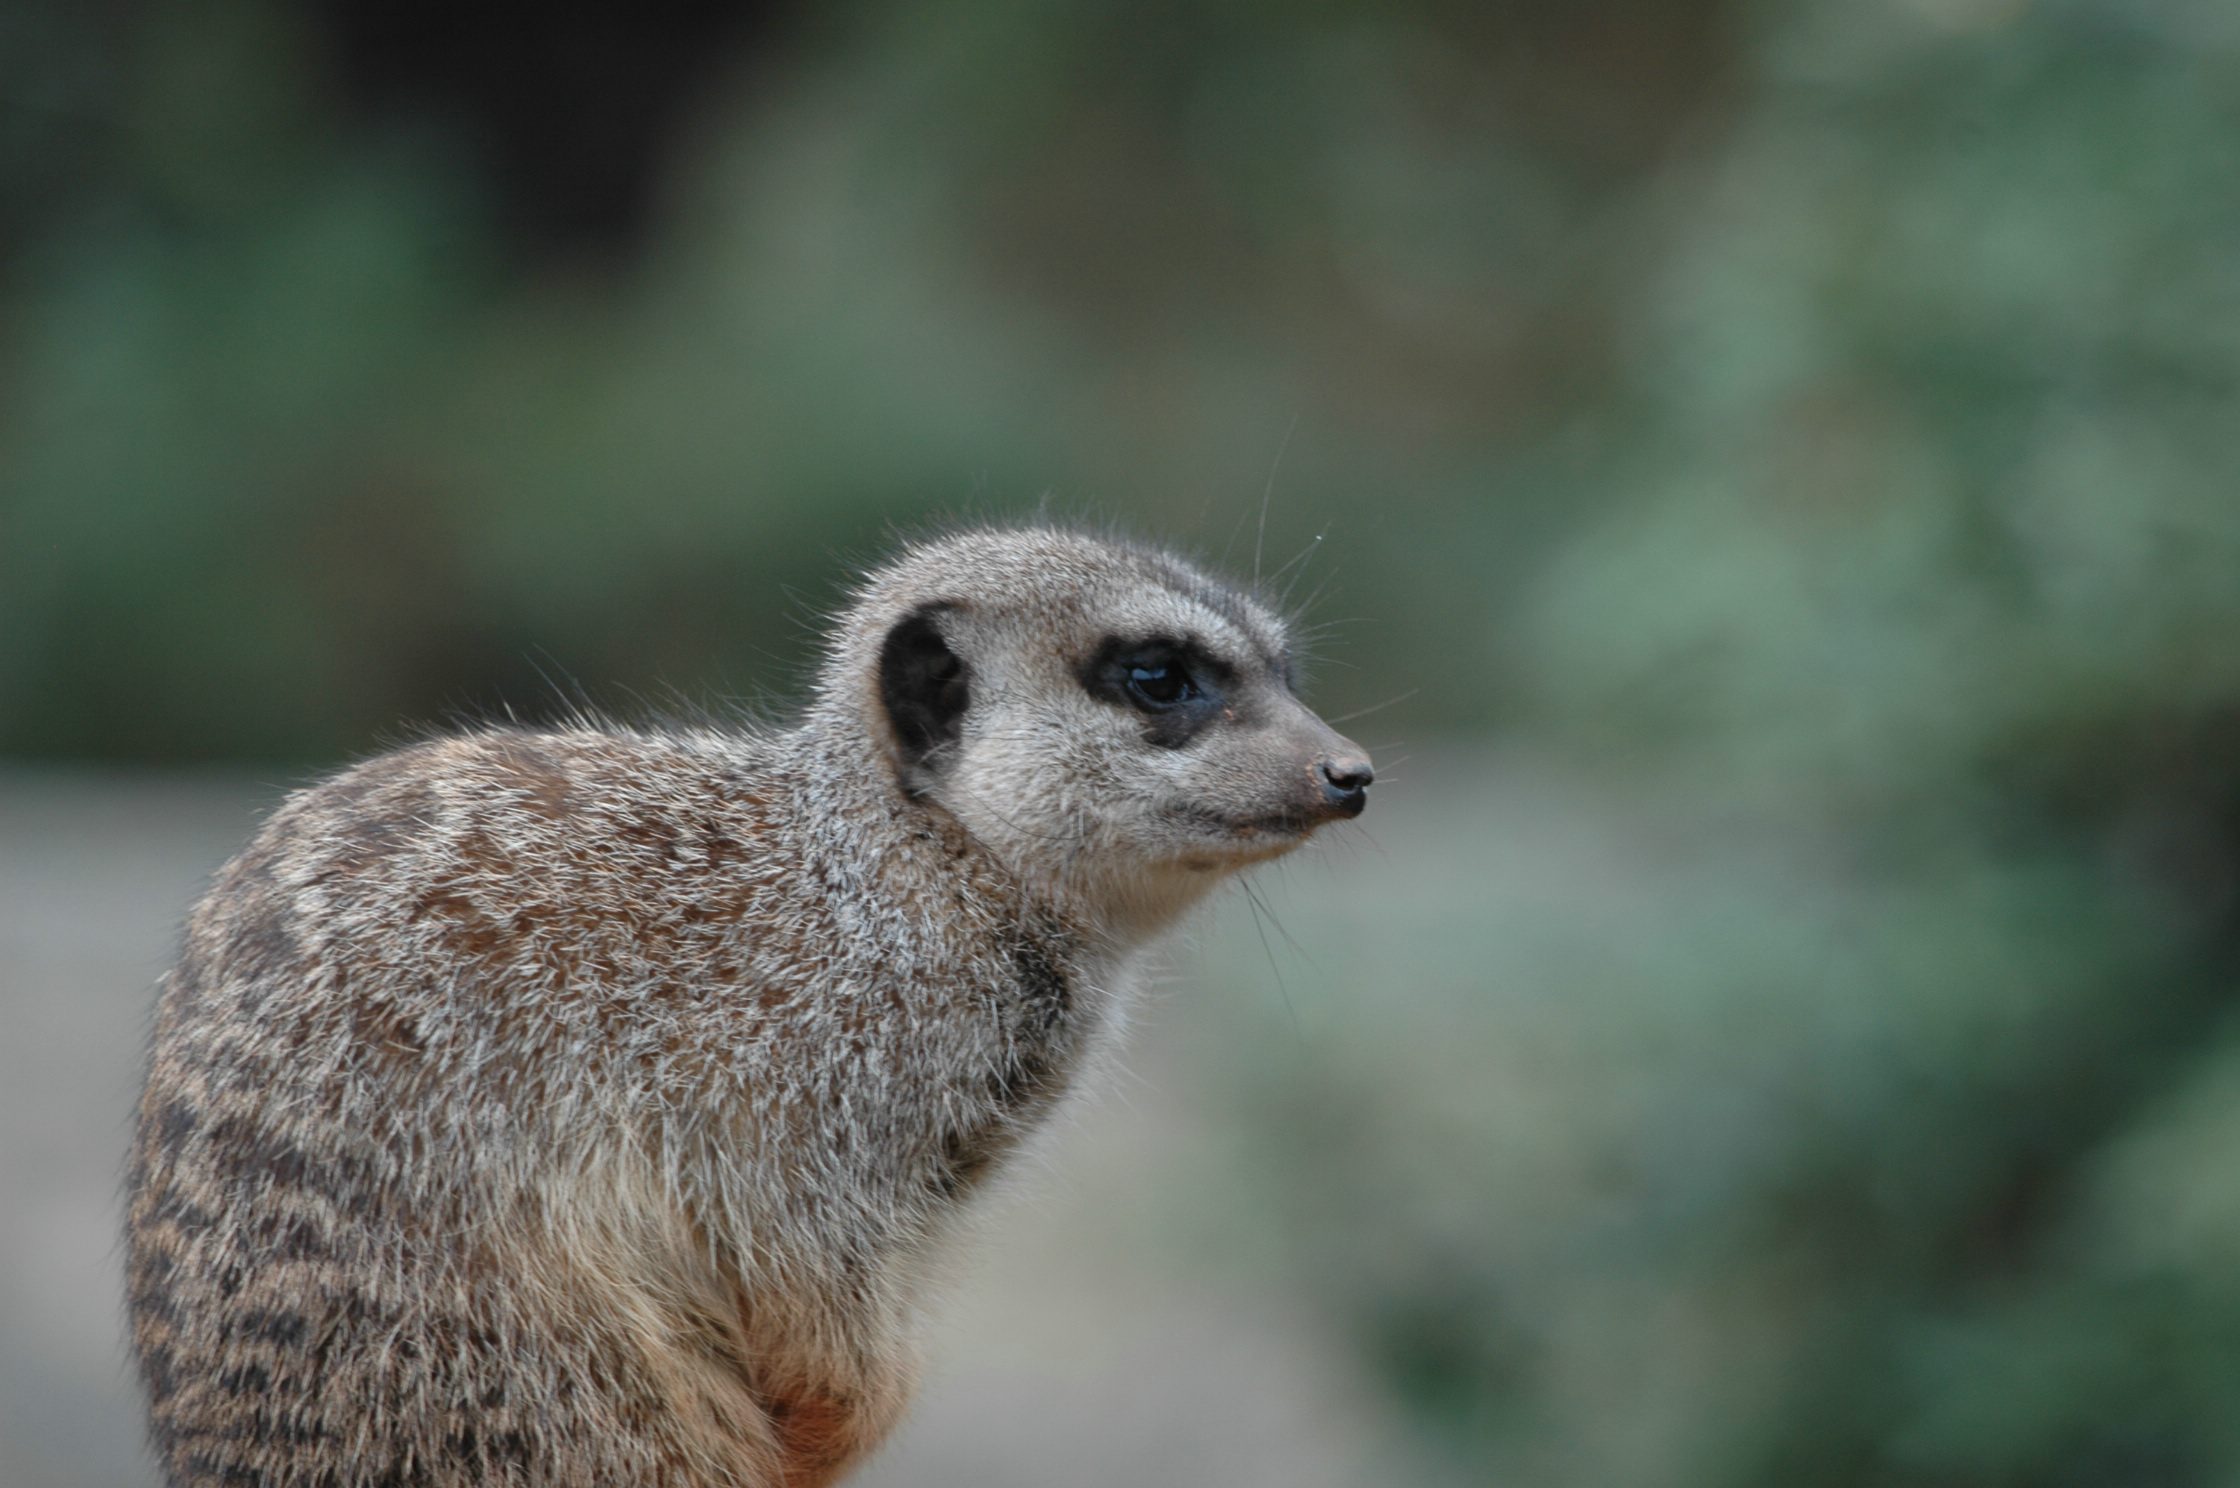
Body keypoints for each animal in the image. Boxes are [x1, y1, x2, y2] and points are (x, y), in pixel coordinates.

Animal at [126, 525, 1373, 1487]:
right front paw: (831, 1427)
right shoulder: (799, 1067)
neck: (895, 874)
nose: (1351, 773)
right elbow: (796, 1268)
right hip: (529, 1379)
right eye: (1158, 676)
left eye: (1284, 672)